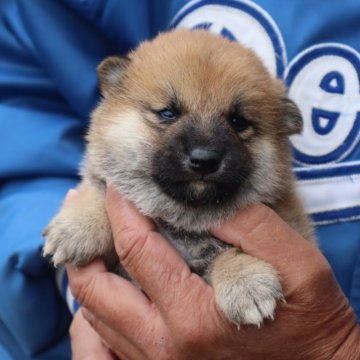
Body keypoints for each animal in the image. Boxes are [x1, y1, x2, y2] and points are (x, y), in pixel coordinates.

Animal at [42, 29, 314, 328]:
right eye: (168, 113)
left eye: (238, 122)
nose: (204, 160)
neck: (181, 220)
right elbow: (99, 189)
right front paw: (78, 227)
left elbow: (228, 252)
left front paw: (246, 282)